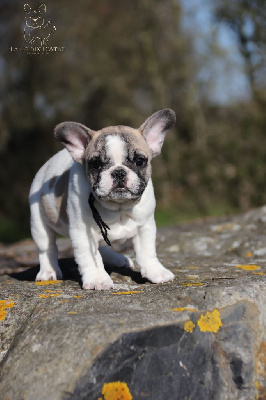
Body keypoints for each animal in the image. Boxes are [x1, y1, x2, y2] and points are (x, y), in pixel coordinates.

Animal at [29, 109, 177, 290]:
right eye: (96, 164)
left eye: (139, 161)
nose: (119, 172)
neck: (119, 207)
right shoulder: (83, 233)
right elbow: (91, 259)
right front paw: (97, 279)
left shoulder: (145, 226)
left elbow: (147, 252)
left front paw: (156, 272)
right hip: (39, 222)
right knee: (47, 248)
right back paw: (48, 271)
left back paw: (119, 259)